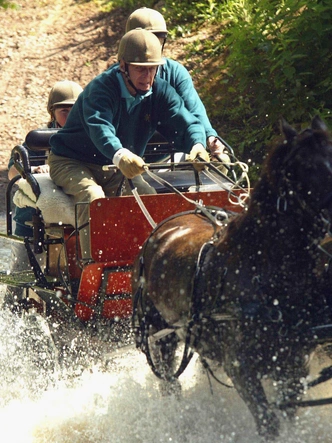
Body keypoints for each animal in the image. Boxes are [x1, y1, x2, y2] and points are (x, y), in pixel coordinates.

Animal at [132, 116, 332, 442]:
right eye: (305, 165)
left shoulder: (294, 367)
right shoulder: (242, 368)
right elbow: (268, 423)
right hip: (159, 333)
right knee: (169, 385)